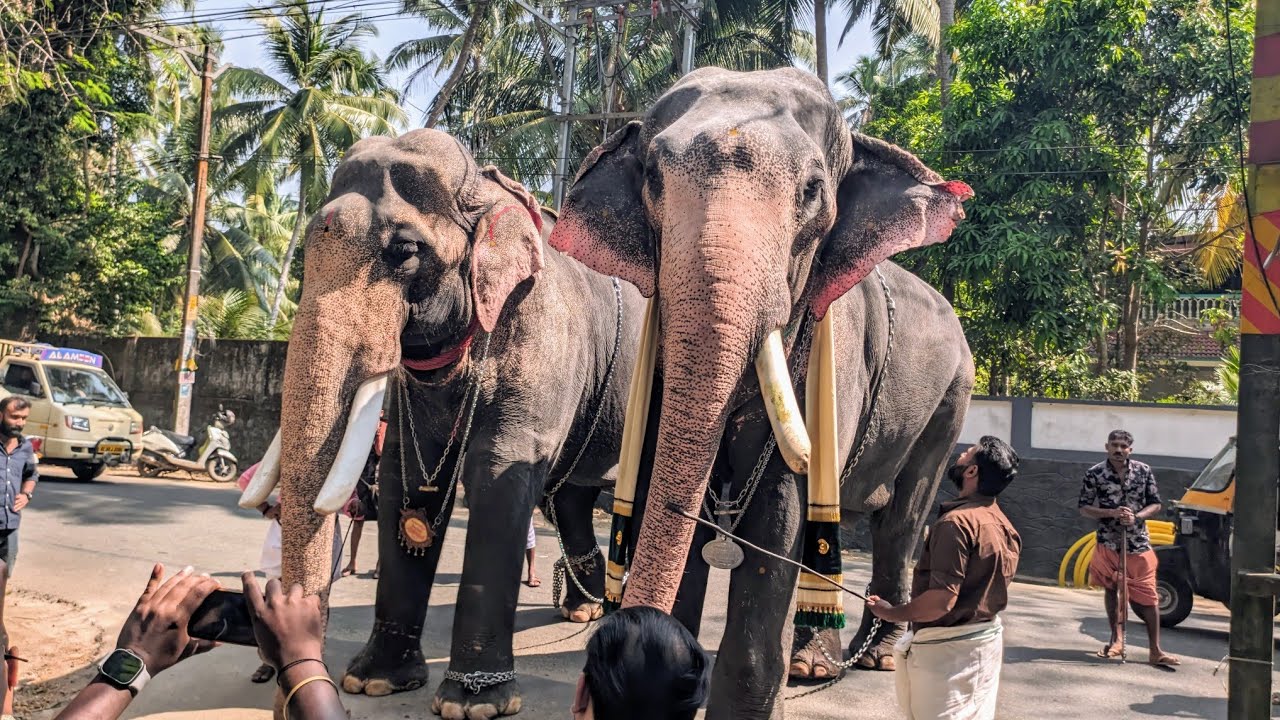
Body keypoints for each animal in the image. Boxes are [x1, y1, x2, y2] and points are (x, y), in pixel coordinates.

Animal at [236, 128, 646, 719]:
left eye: (404, 251)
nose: (284, 691)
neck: (488, 188)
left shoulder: (543, 333)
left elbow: (498, 474)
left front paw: (474, 705)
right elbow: (404, 481)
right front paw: (375, 683)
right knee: (570, 497)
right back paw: (584, 612)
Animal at [549, 66, 976, 718]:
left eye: (812, 191)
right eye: (652, 178)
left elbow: (780, 511)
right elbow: (677, 501)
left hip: (950, 399)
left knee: (901, 520)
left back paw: (870, 658)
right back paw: (816, 664)